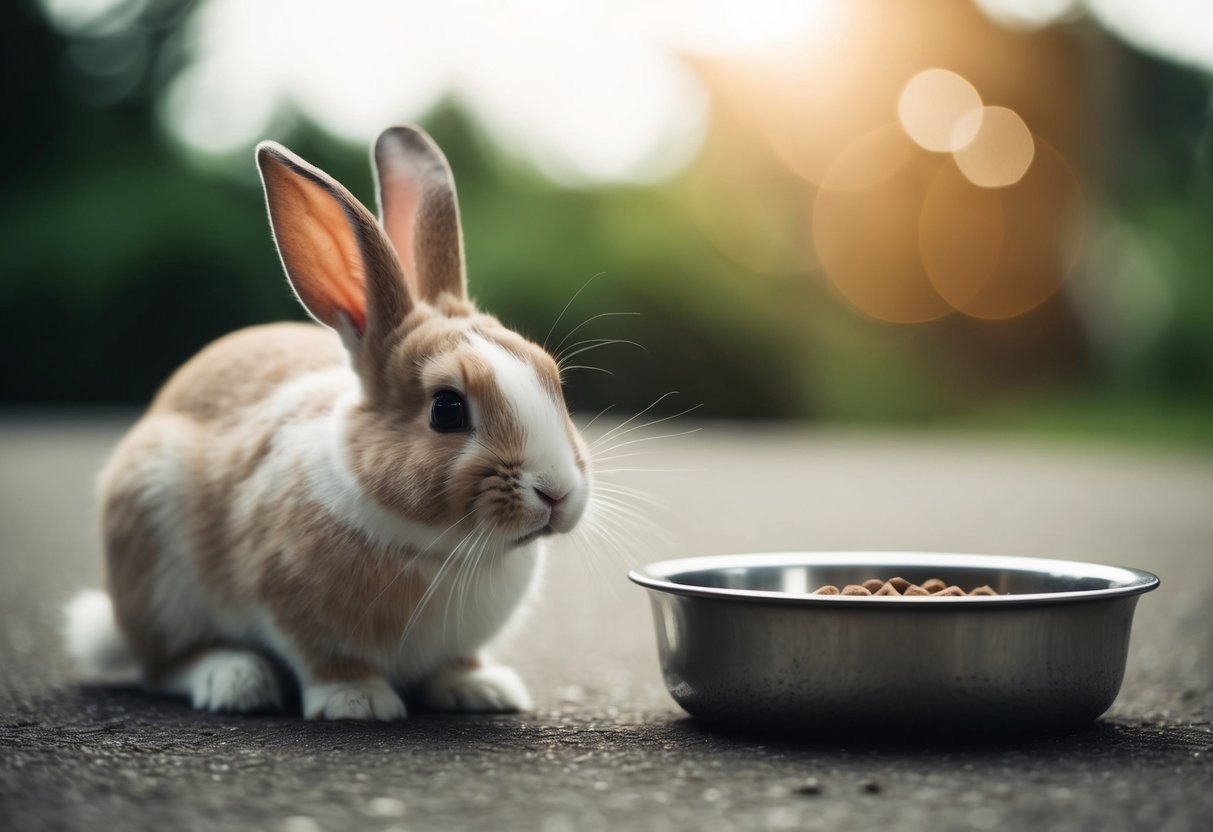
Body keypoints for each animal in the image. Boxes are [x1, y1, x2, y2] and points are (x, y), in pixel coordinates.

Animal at [62, 125, 591, 721]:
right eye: (447, 409)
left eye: (552, 377)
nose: (556, 492)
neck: (440, 549)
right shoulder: (288, 606)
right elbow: (325, 658)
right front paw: (358, 702)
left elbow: (458, 660)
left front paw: (481, 690)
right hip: (154, 562)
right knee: (164, 665)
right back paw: (236, 681)